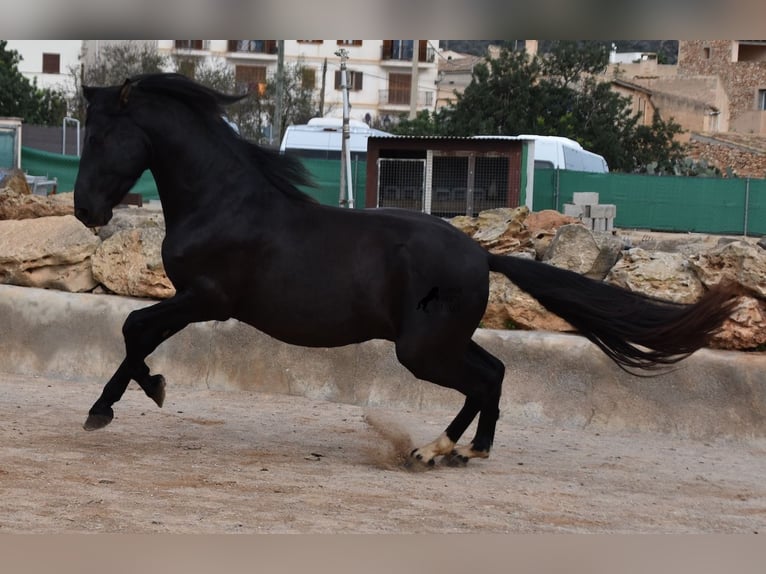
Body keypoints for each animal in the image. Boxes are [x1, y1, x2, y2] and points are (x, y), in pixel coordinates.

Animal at [76, 73, 736, 468]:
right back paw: (459, 450)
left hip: (421, 348)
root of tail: (482, 254)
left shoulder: (206, 298)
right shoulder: (196, 299)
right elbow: (138, 333)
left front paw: (114, 405)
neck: (222, 200)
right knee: (493, 374)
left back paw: (439, 450)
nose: (86, 209)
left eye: (103, 136)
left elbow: (135, 328)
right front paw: (138, 392)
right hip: (440, 340)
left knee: (483, 380)